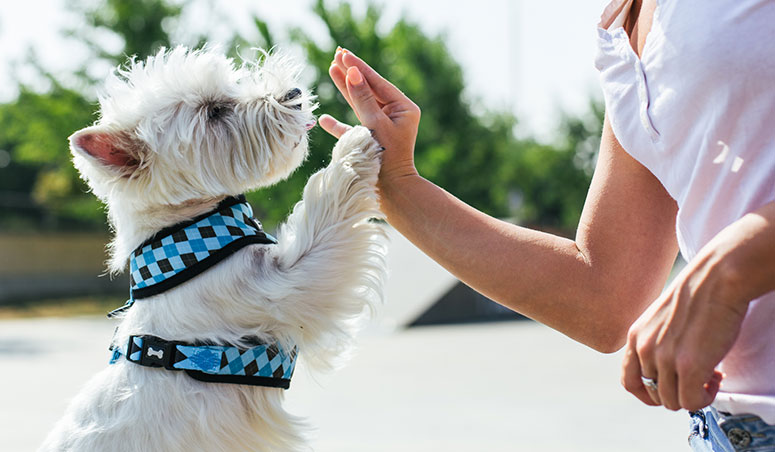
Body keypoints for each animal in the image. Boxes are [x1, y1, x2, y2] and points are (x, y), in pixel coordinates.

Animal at [41, 46, 386, 452]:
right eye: (214, 112)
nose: (294, 93)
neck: (188, 238)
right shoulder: (283, 286)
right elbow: (324, 213)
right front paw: (354, 145)